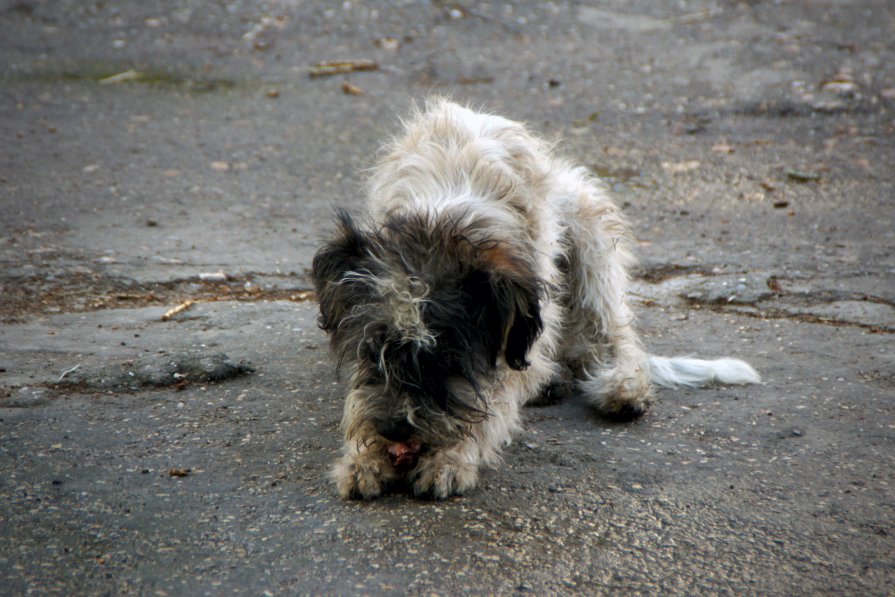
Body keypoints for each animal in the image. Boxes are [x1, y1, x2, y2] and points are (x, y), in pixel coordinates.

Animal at [312, 99, 760, 498]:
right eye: (372, 351)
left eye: (445, 358)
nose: (392, 429)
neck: (443, 221)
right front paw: (362, 458)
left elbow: (493, 399)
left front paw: (452, 458)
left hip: (591, 235)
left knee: (615, 334)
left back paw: (622, 387)